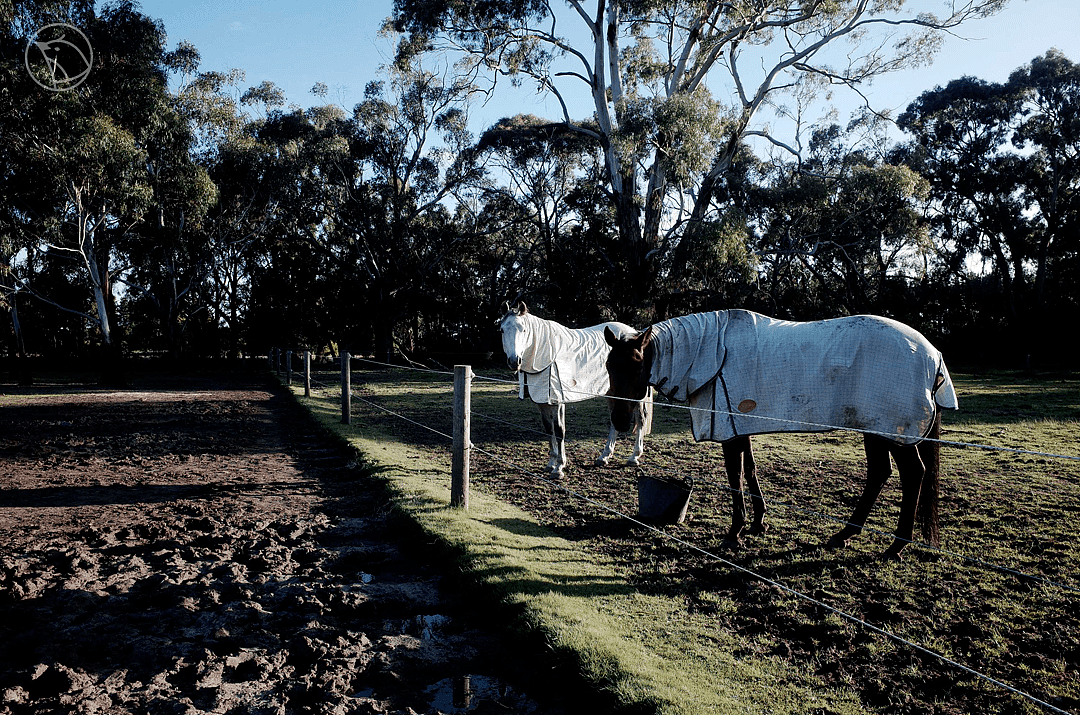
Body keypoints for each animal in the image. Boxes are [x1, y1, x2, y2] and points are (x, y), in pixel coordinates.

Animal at [496, 304, 648, 481]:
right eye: (502, 330)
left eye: (524, 329)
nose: (514, 361)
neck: (546, 353)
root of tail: (635, 333)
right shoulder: (541, 401)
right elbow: (548, 429)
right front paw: (551, 463)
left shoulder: (557, 401)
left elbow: (559, 430)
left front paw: (559, 467)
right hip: (612, 392)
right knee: (614, 421)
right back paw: (604, 457)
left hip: (635, 397)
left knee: (641, 419)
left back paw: (634, 457)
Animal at [604, 311, 959, 561]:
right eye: (609, 365)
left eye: (637, 364)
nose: (619, 419)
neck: (714, 352)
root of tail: (933, 354)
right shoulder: (739, 425)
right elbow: (750, 470)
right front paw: (758, 522)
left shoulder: (729, 430)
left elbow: (735, 476)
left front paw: (735, 532)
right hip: (873, 430)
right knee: (879, 474)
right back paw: (844, 535)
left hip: (891, 433)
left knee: (912, 474)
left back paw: (895, 546)